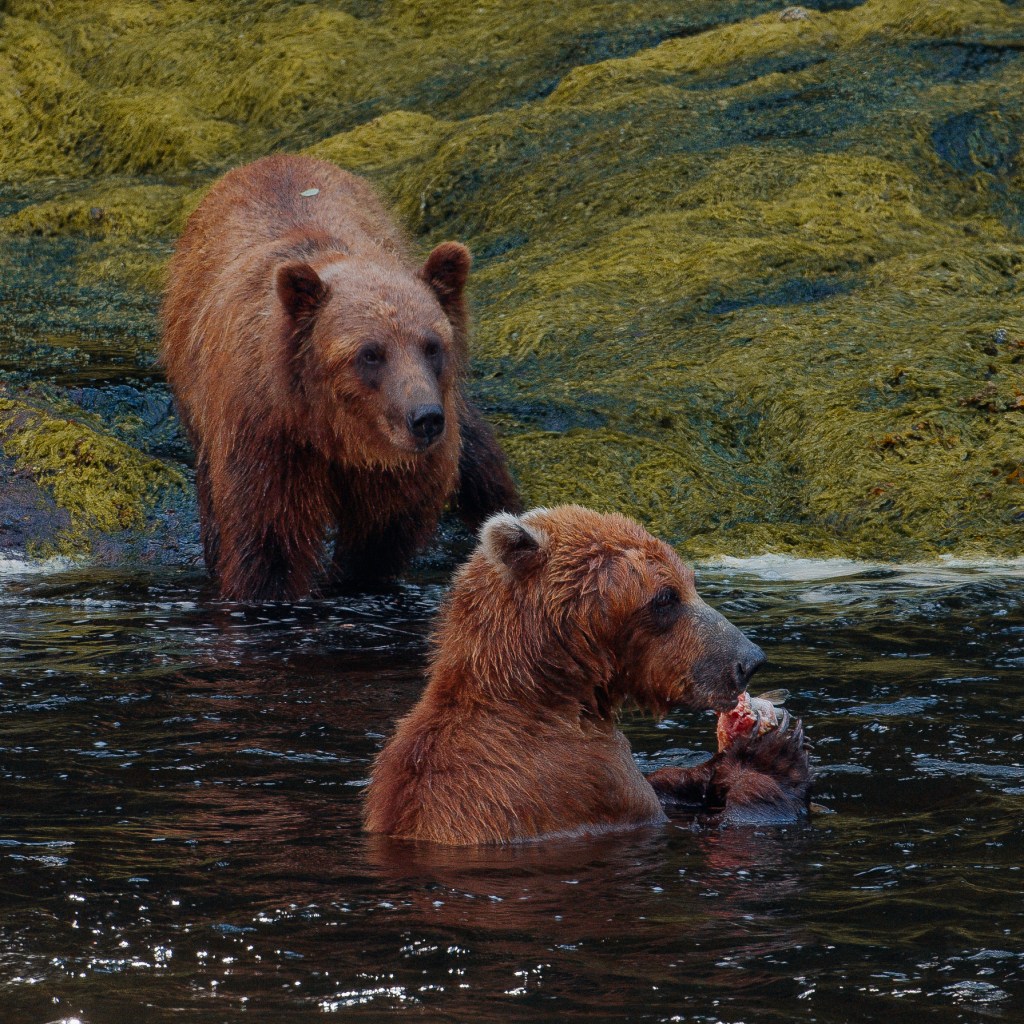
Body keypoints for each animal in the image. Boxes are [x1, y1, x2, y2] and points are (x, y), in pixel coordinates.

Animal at [161, 154, 520, 601]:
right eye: (370, 353)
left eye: (432, 345)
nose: (425, 419)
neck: (336, 432)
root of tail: (273, 159)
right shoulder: (268, 436)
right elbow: (268, 539)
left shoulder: (398, 469)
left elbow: (378, 538)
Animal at [363, 505, 813, 845]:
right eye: (666, 597)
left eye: (691, 582)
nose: (749, 659)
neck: (547, 694)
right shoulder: (584, 781)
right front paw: (774, 757)